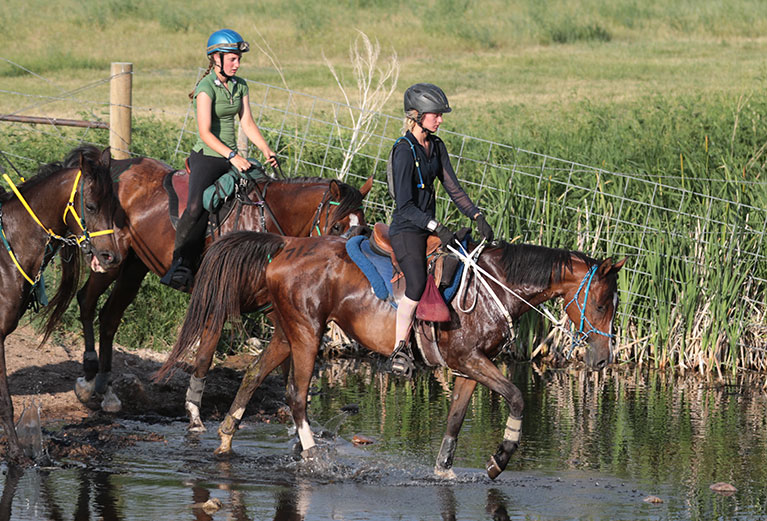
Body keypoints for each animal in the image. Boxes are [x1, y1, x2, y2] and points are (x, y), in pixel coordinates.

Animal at [73, 153, 374, 410]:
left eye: (364, 229)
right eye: (336, 226)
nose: (346, 270)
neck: (266, 222)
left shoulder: (271, 304)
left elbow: (285, 358)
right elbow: (205, 356)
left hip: (135, 267)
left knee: (109, 317)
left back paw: (104, 388)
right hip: (110, 259)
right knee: (86, 301)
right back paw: (88, 380)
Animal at [159, 232, 628, 480]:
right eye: (603, 303)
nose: (603, 359)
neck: (493, 285)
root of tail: (286, 245)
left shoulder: (468, 370)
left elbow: (455, 419)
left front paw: (443, 470)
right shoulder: (471, 362)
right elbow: (516, 396)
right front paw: (500, 458)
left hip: (287, 334)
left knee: (254, 375)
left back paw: (225, 439)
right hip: (308, 335)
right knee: (296, 396)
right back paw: (311, 455)